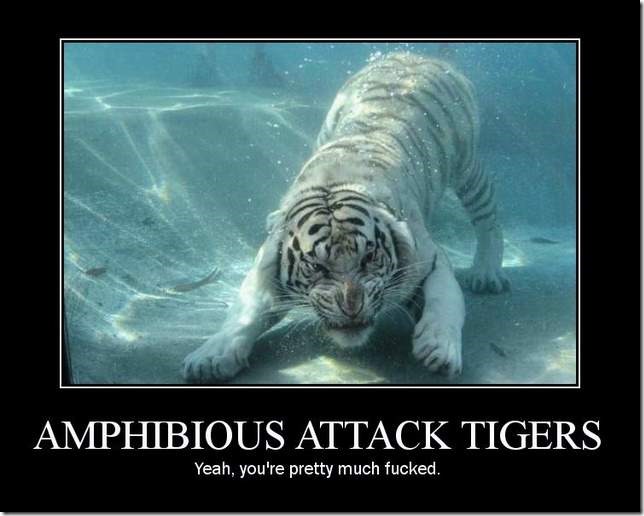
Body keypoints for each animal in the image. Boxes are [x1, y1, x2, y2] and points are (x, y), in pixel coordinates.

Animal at [183, 51, 509, 383]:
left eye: (369, 258)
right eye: (317, 267)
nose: (352, 307)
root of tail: (412, 54)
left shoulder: (430, 260)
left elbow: (445, 301)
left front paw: (439, 348)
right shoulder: (265, 269)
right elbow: (243, 313)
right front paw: (210, 357)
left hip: (467, 166)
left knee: (488, 216)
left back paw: (486, 273)